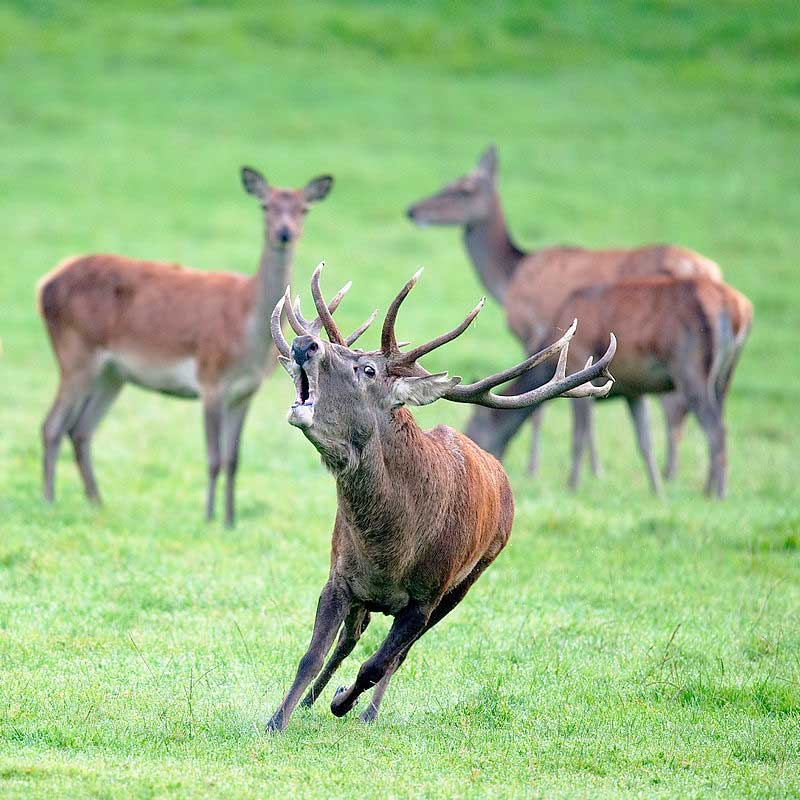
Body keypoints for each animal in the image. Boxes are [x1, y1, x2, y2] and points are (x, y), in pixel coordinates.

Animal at [37, 164, 334, 524]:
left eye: (304, 209)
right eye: (266, 206)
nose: (284, 233)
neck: (248, 336)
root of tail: (45, 284)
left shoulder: (245, 392)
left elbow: (234, 460)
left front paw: (230, 521)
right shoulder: (210, 380)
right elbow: (214, 458)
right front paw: (208, 517)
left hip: (112, 373)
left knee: (80, 430)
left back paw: (97, 502)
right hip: (75, 353)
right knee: (52, 425)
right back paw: (49, 500)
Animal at [262, 264, 612, 732]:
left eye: (366, 369)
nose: (305, 344)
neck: (391, 548)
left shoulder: (425, 599)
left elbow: (377, 664)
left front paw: (343, 703)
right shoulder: (340, 577)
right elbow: (312, 654)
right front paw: (278, 719)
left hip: (467, 581)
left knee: (396, 656)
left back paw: (366, 710)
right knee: (352, 637)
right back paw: (312, 701)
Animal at [410, 146, 728, 490]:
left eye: (463, 188)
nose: (412, 210)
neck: (509, 278)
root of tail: (712, 272)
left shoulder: (535, 333)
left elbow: (550, 415)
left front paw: (549, 472)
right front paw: (597, 472)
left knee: (690, 417)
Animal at [466, 278, 752, 496]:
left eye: (475, 425)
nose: (485, 459)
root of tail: (737, 311)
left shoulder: (579, 361)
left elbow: (579, 435)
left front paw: (572, 485)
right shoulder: (634, 392)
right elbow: (645, 442)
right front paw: (657, 491)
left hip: (690, 370)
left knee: (716, 430)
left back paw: (717, 493)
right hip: (724, 378)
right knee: (719, 425)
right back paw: (709, 488)